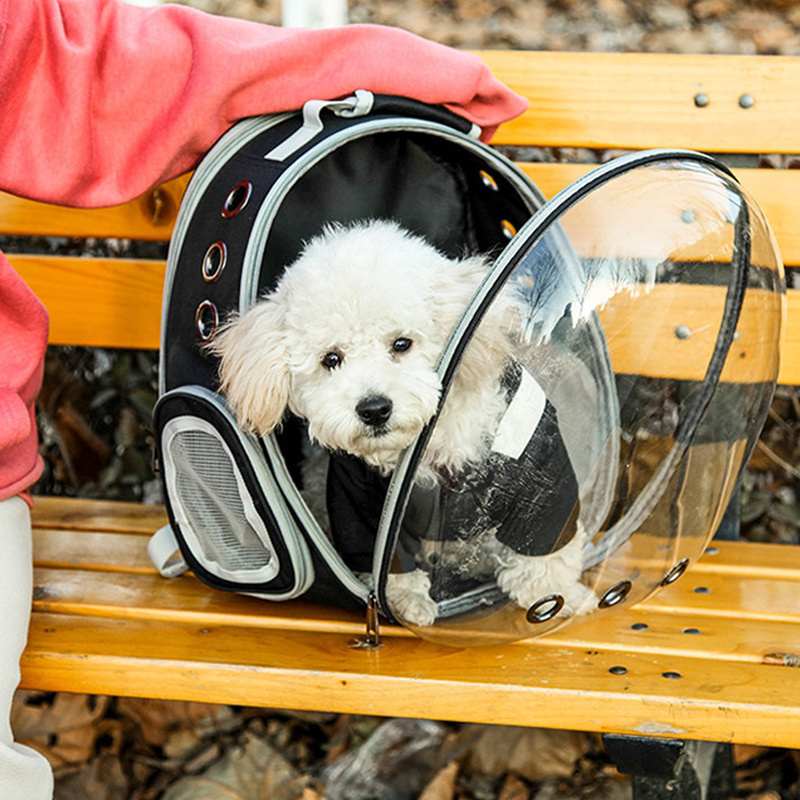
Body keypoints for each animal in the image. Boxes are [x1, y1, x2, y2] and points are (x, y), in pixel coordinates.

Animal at [209, 222, 592, 628]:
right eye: (332, 359)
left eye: (402, 343)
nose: (374, 408)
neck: (433, 441)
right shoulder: (357, 497)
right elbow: (384, 556)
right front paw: (406, 600)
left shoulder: (541, 474)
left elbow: (545, 544)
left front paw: (557, 596)